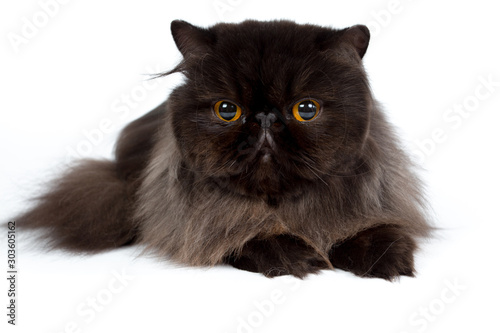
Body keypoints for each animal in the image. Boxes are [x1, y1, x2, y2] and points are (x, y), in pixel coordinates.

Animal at [15, 20, 432, 278]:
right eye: (227, 110)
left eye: (306, 109)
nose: (265, 119)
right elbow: (246, 236)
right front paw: (295, 256)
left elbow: (368, 229)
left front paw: (388, 259)